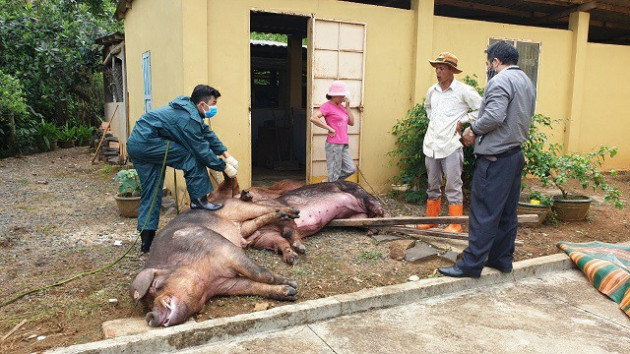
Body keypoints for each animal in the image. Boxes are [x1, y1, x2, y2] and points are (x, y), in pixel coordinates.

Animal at [131, 196, 302, 326]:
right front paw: (290, 293)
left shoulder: (224, 249)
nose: (150, 317)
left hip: (238, 207)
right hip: (245, 228)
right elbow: (252, 286)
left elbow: (262, 275)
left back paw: (294, 212)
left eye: (155, 286)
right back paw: (283, 215)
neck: (207, 282)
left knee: (262, 207)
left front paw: (293, 284)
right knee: (257, 220)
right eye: (147, 305)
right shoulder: (224, 284)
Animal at [244, 181, 388, 264]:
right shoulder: (265, 236)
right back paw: (372, 231)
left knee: (381, 208)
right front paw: (292, 258)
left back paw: (385, 222)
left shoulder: (282, 212)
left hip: (361, 194)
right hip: (355, 217)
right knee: (366, 220)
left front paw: (301, 248)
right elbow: (280, 241)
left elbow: (290, 231)